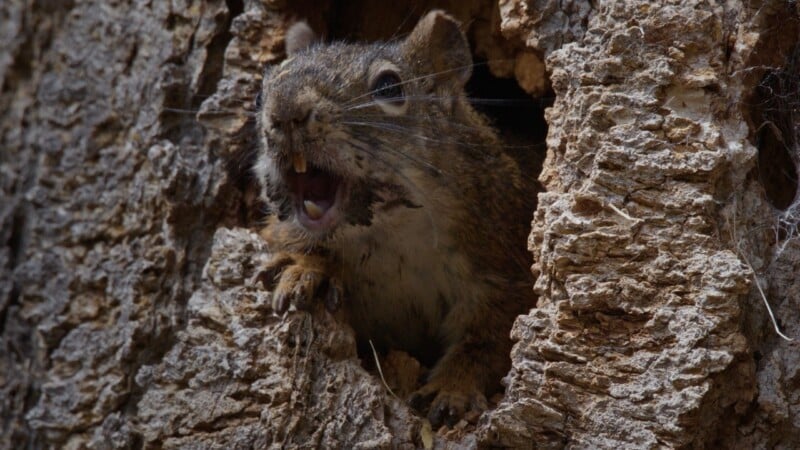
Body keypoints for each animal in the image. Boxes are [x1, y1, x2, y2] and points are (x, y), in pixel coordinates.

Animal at [253, 10, 537, 427]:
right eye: (264, 89)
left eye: (389, 87)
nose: (285, 111)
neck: (390, 234)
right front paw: (305, 268)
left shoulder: (504, 269)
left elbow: (488, 339)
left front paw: (451, 389)